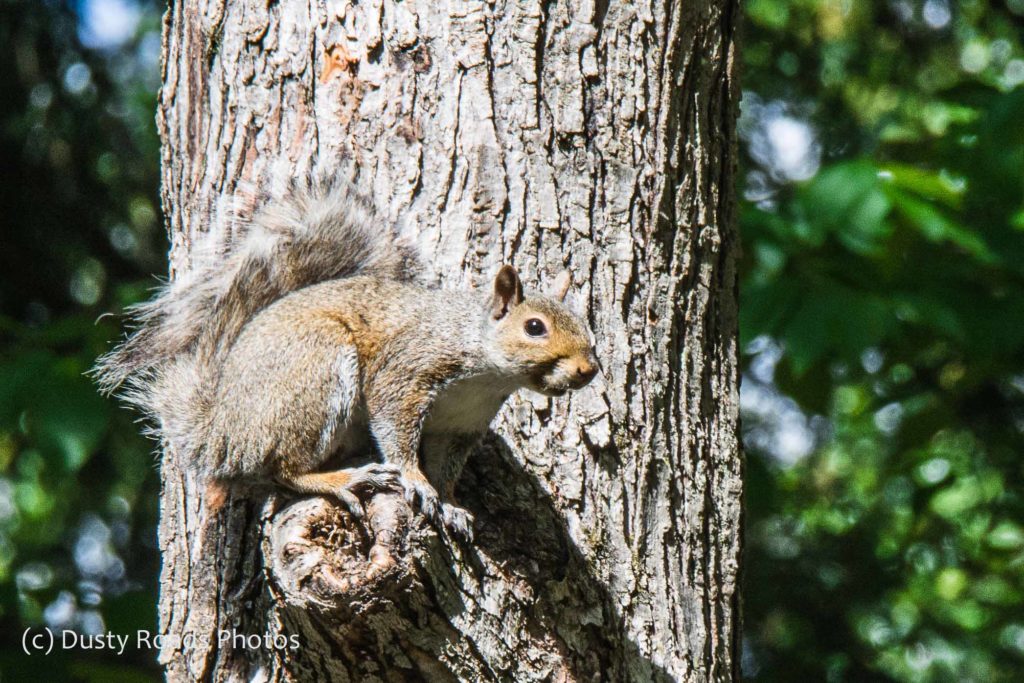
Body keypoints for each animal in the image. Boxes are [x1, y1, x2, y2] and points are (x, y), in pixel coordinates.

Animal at [93, 171, 599, 539]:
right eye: (534, 327)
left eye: (587, 328)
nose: (589, 370)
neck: (486, 372)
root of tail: (222, 427)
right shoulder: (406, 374)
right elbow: (398, 434)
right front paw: (416, 482)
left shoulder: (459, 427)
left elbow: (446, 469)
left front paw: (451, 504)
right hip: (317, 369)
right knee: (285, 468)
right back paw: (344, 480)